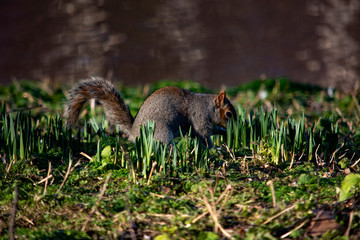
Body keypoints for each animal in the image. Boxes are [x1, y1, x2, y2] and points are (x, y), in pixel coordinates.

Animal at [64, 77, 236, 148]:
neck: (207, 107)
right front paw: (216, 149)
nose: (234, 126)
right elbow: (205, 137)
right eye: (228, 114)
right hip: (161, 131)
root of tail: (134, 132)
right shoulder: (200, 121)